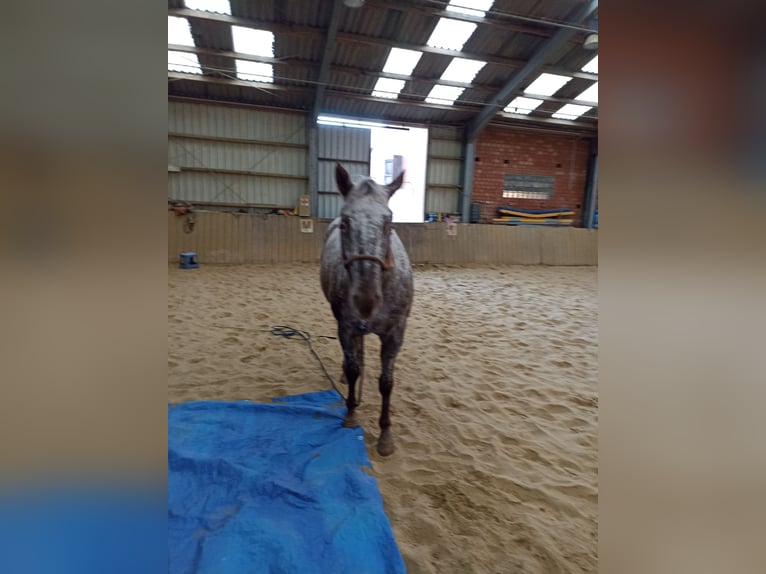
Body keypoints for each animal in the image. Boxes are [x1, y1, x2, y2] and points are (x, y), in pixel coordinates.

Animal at [320, 164, 414, 456]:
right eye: (345, 223)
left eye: (389, 223)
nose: (365, 299)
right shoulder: (346, 327)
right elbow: (353, 370)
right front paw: (351, 413)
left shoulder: (395, 334)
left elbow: (386, 383)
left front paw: (385, 435)